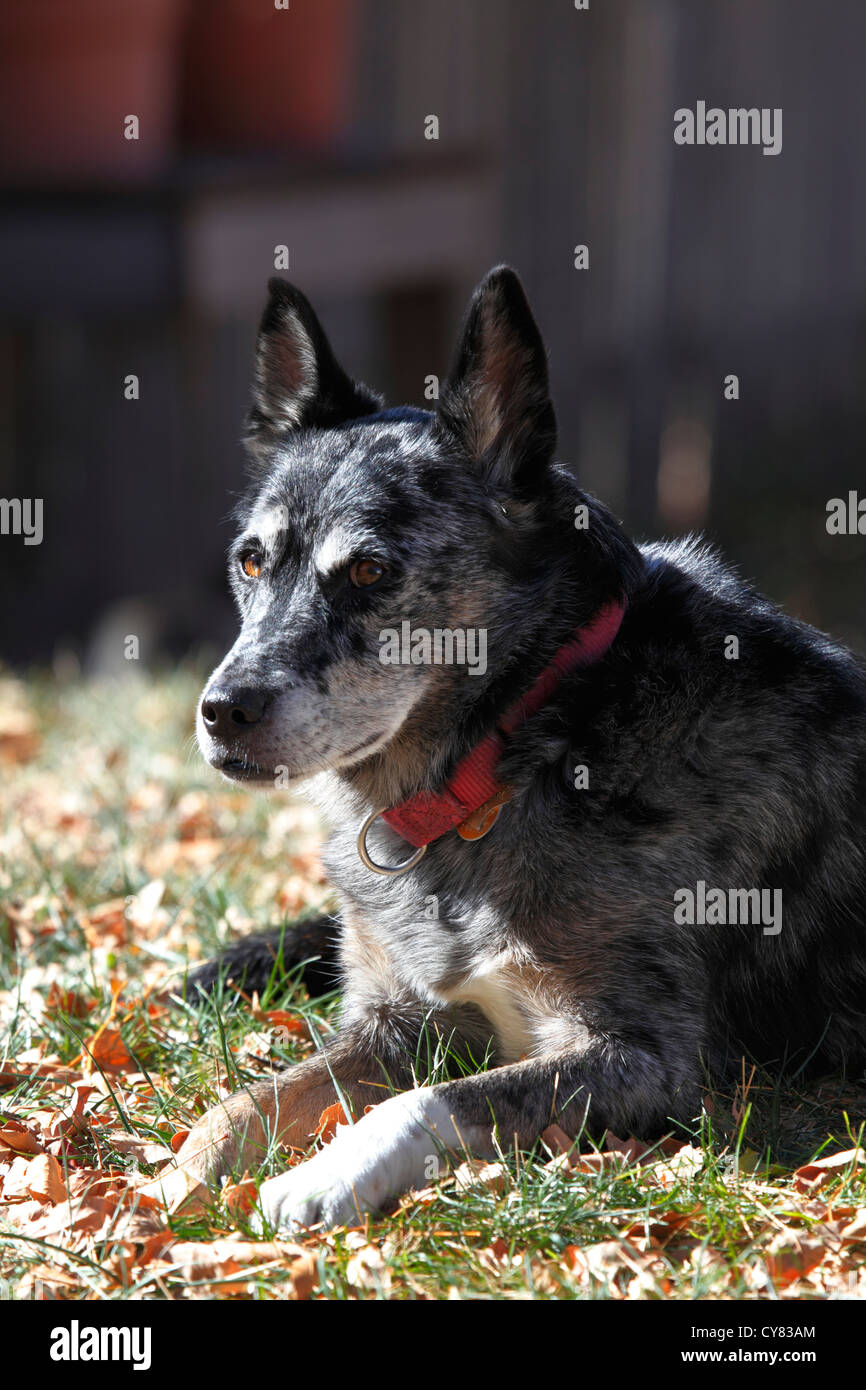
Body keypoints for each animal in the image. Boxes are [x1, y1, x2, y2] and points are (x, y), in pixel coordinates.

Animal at [164, 262, 866, 1228]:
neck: (516, 752)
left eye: (372, 572)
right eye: (250, 561)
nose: (221, 710)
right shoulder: (393, 1021)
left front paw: (320, 1175)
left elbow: (429, 1100)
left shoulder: (647, 1058)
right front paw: (170, 1182)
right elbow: (249, 1099)